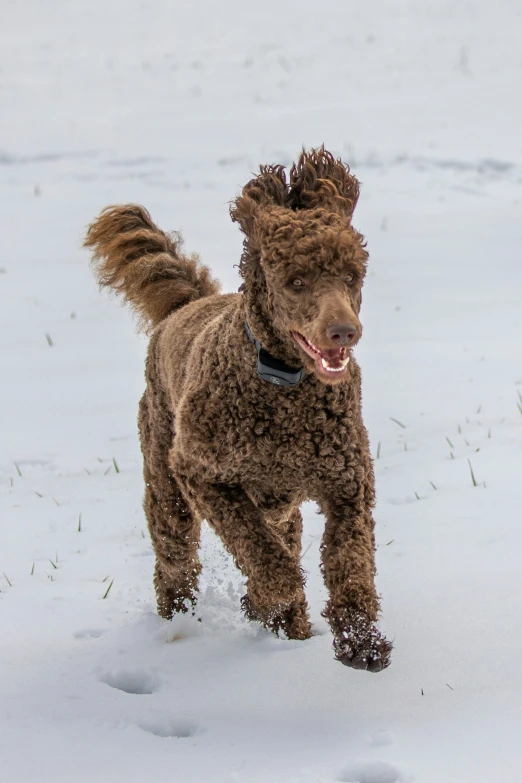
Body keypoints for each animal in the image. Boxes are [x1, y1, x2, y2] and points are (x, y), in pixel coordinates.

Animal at [83, 149, 388, 672]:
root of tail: (187, 305)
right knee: (175, 558)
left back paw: (293, 629)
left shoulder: (347, 486)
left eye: (351, 275)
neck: (285, 390)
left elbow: (350, 566)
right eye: (296, 281)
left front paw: (361, 644)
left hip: (280, 504)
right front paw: (268, 597)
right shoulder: (199, 473)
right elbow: (259, 549)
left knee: (283, 535)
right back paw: (179, 621)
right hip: (166, 485)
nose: (344, 331)